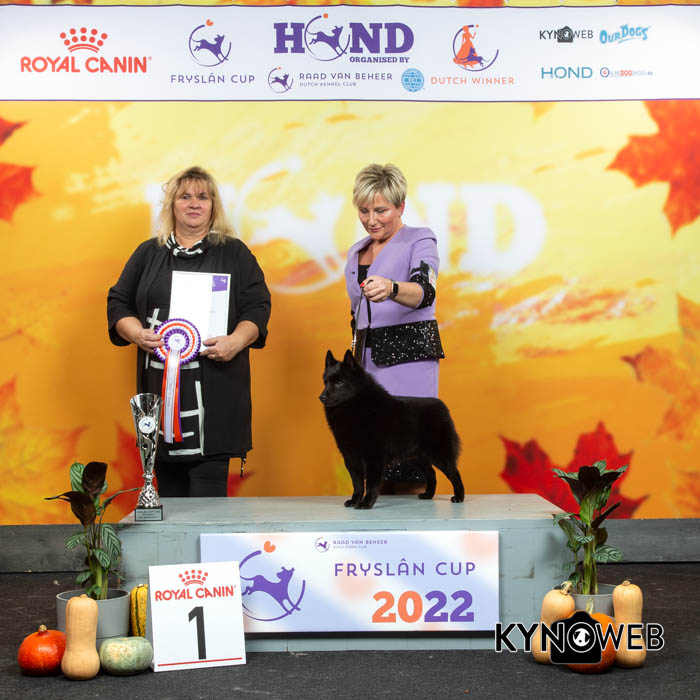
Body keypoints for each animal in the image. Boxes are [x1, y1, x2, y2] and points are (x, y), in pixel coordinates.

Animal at [320, 349, 465, 509]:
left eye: (339, 383)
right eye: (325, 382)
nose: (321, 397)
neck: (356, 406)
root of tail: (442, 406)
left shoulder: (374, 457)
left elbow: (370, 484)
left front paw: (366, 503)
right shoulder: (351, 457)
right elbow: (357, 484)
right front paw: (354, 501)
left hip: (439, 454)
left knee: (454, 473)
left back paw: (459, 497)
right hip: (416, 457)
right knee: (431, 473)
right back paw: (428, 495)